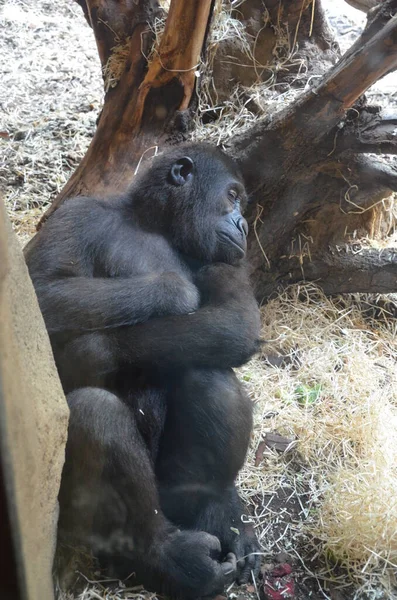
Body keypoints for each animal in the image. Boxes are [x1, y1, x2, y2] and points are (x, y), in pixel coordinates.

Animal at [24, 143, 260, 596]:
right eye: (232, 196)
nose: (242, 224)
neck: (153, 224)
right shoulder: (77, 212)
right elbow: (41, 291)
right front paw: (172, 290)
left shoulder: (229, 258)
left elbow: (235, 319)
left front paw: (95, 351)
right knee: (96, 413)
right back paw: (164, 555)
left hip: (170, 492)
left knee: (212, 378)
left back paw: (214, 511)